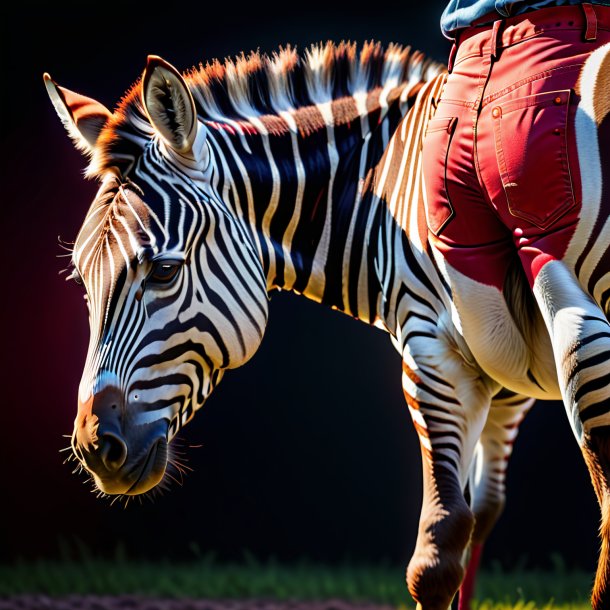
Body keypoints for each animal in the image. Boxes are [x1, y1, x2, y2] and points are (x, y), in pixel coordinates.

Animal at [40, 40, 604, 604]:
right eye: (82, 280)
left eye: (163, 271)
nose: (95, 448)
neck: (384, 193)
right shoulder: (501, 380)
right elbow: (476, 518)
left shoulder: (438, 356)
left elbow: (441, 550)